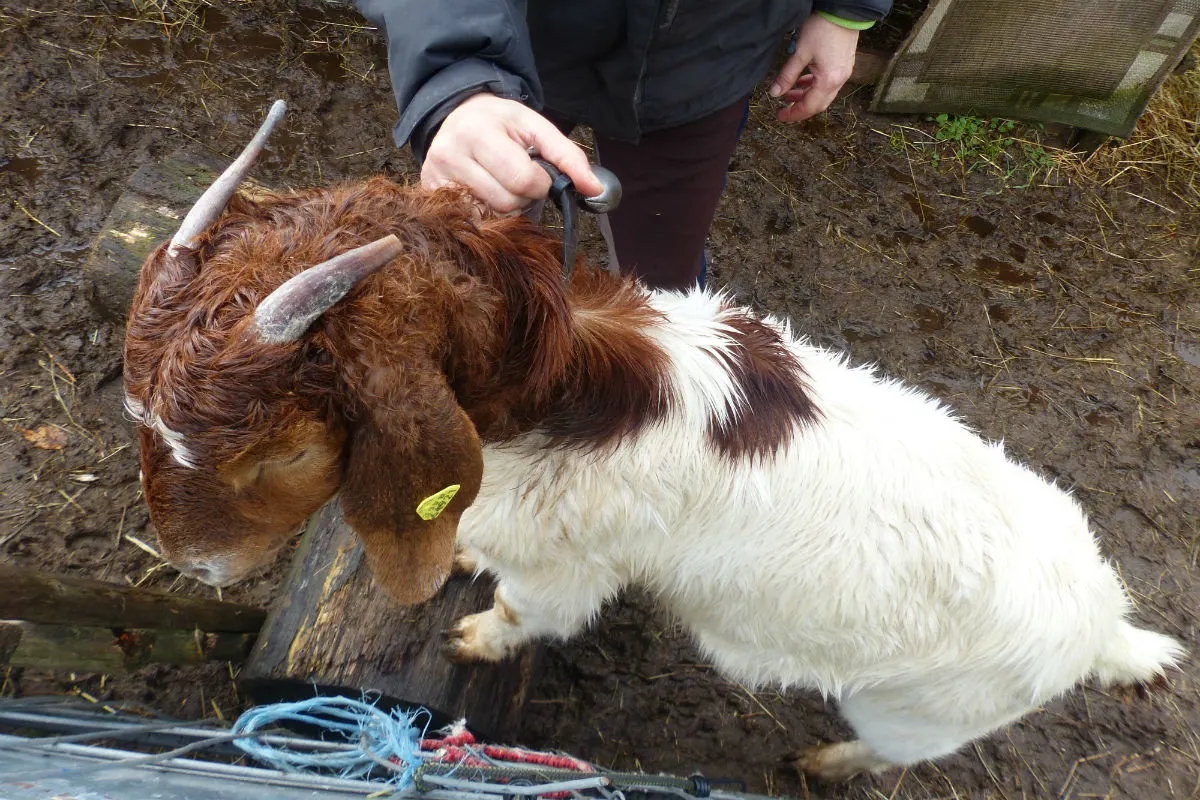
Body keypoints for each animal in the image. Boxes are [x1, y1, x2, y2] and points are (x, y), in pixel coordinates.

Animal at [124, 103, 1183, 781]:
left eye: (275, 454)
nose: (198, 569)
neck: (566, 395)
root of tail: (1104, 622)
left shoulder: (570, 566)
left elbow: (525, 613)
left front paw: (473, 636)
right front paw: (460, 552)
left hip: (923, 713)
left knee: (890, 752)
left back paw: (825, 761)